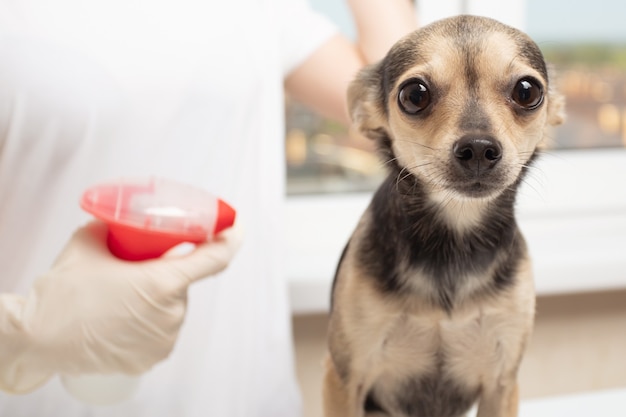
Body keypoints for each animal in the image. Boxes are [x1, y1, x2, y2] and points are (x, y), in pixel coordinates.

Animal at [324, 14, 564, 414]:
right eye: (414, 95)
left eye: (527, 91)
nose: (479, 148)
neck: (454, 235)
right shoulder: (344, 379)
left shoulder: (502, 382)